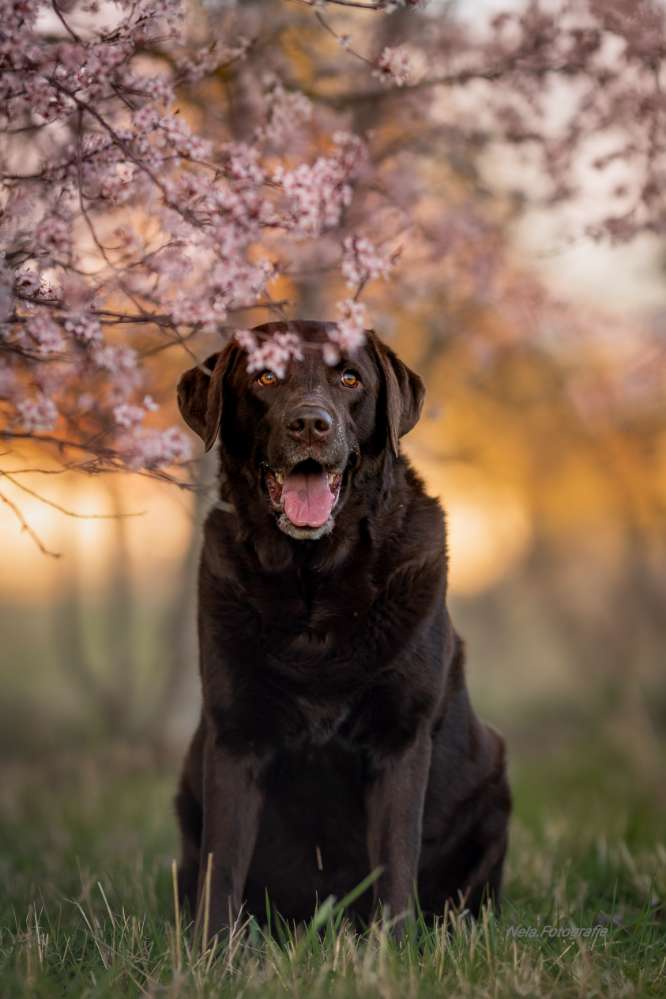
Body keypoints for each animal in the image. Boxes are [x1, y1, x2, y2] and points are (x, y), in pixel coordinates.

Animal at [172, 320, 508, 936]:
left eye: (349, 378)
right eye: (265, 377)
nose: (311, 423)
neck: (314, 583)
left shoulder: (400, 739)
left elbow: (395, 864)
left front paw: (393, 951)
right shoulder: (234, 736)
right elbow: (220, 865)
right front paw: (211, 952)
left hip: (493, 777)